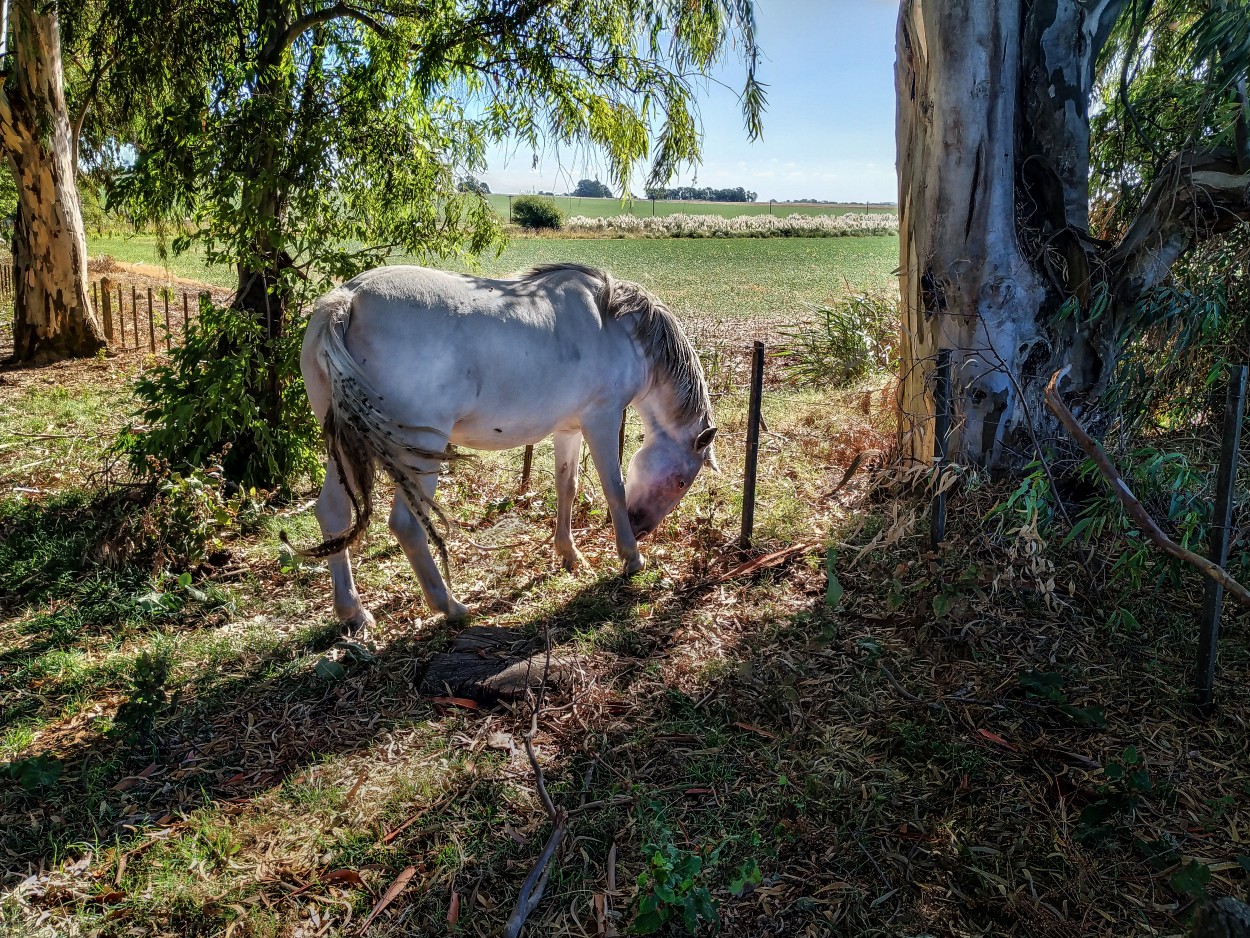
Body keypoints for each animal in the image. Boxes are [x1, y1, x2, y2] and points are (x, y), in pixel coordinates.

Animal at [296, 265, 720, 632]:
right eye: (681, 482)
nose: (641, 526)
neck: (615, 324)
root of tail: (347, 300)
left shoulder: (569, 429)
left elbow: (567, 488)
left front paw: (568, 553)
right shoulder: (602, 420)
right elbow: (613, 489)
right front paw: (631, 556)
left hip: (345, 448)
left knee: (332, 512)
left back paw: (353, 612)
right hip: (420, 450)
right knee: (407, 525)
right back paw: (450, 606)